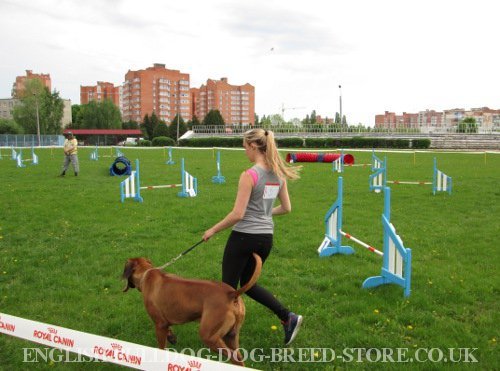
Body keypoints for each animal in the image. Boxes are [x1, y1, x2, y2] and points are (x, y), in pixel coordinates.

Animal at [122, 256, 262, 366]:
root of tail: (232, 293)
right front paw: (171, 336)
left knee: (233, 357)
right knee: (238, 358)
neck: (146, 273)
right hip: (231, 335)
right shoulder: (164, 323)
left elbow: (161, 347)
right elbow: (168, 329)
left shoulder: (159, 324)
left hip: (209, 336)